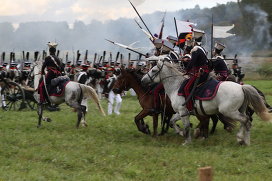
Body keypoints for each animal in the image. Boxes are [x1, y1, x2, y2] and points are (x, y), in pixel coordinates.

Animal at [141, 60, 270, 146]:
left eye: (154, 70)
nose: (143, 80)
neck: (176, 87)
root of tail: (241, 87)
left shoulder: (183, 112)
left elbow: (186, 126)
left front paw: (187, 141)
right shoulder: (181, 112)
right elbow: (172, 121)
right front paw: (181, 133)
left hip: (229, 112)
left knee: (246, 121)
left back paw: (244, 140)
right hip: (239, 110)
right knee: (245, 121)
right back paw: (241, 139)